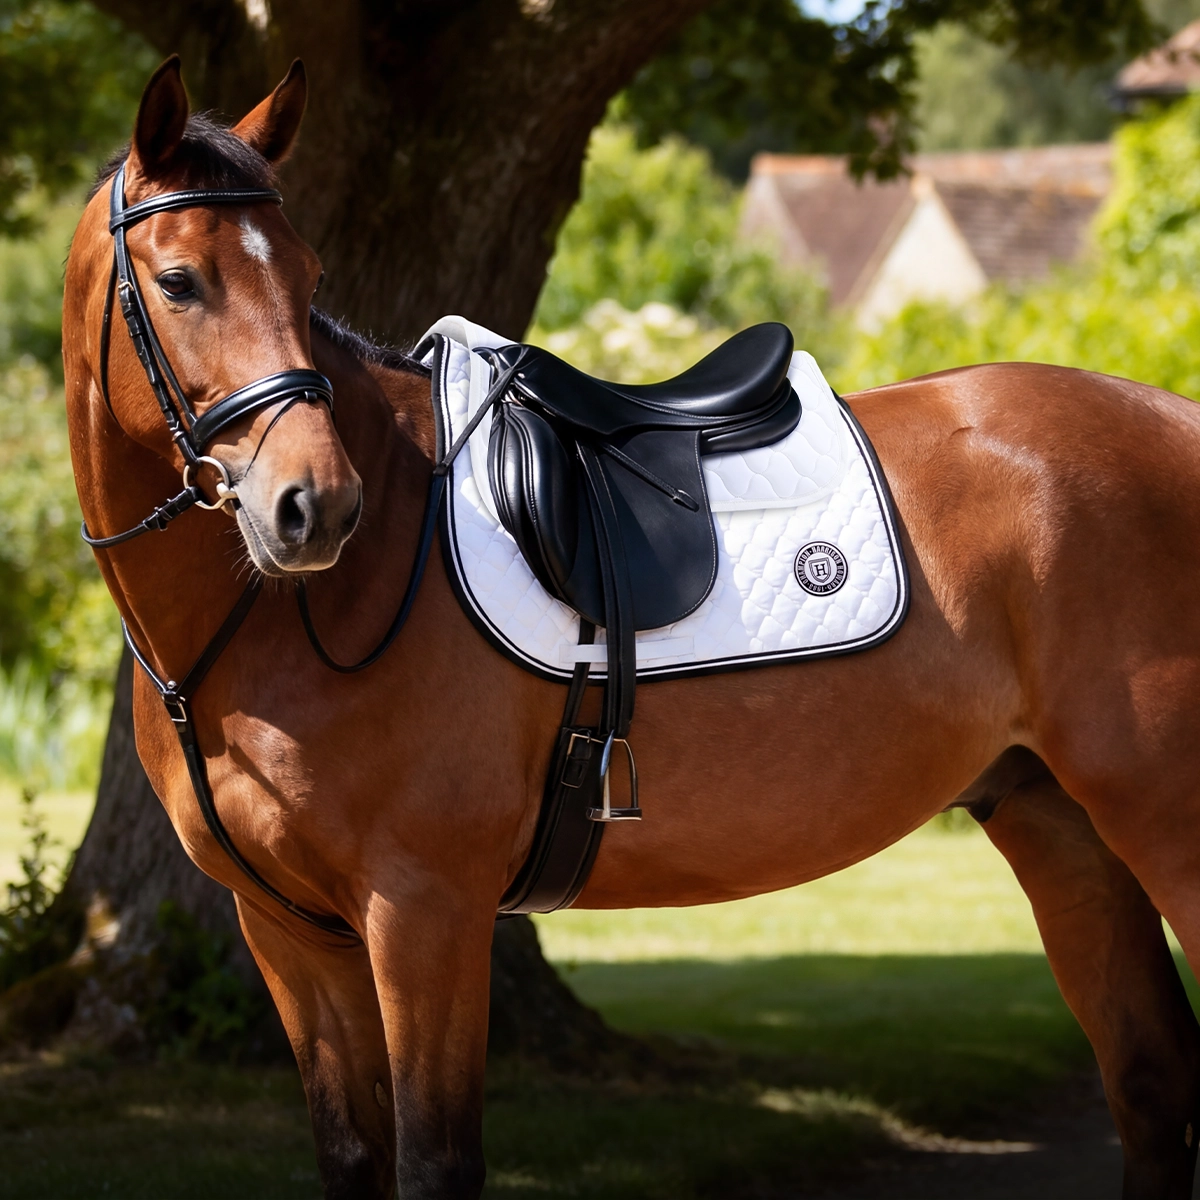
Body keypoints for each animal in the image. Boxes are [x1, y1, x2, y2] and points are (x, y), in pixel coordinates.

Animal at [62, 56, 1200, 1200]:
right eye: (179, 282)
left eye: (307, 277)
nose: (316, 506)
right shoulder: (293, 936)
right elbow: (354, 1158)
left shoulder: (424, 912)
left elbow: (435, 1163)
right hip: (1059, 827)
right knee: (1150, 1087)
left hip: (1160, 825)